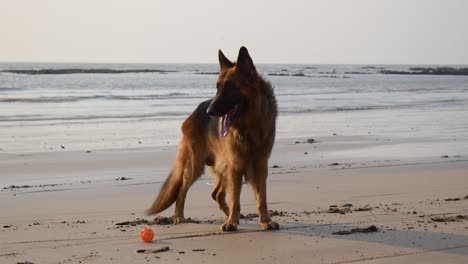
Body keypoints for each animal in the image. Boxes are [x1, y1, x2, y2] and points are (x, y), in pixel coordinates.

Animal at [147, 47, 278, 231]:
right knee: (183, 189)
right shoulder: (235, 165)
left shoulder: (260, 165)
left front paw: (265, 220)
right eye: (217, 87)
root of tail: (195, 111)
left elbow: (262, 198)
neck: (249, 127)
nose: (210, 112)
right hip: (195, 165)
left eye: (230, 87)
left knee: (216, 194)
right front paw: (231, 221)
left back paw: (232, 215)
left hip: (222, 167)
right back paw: (180, 216)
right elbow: (235, 198)